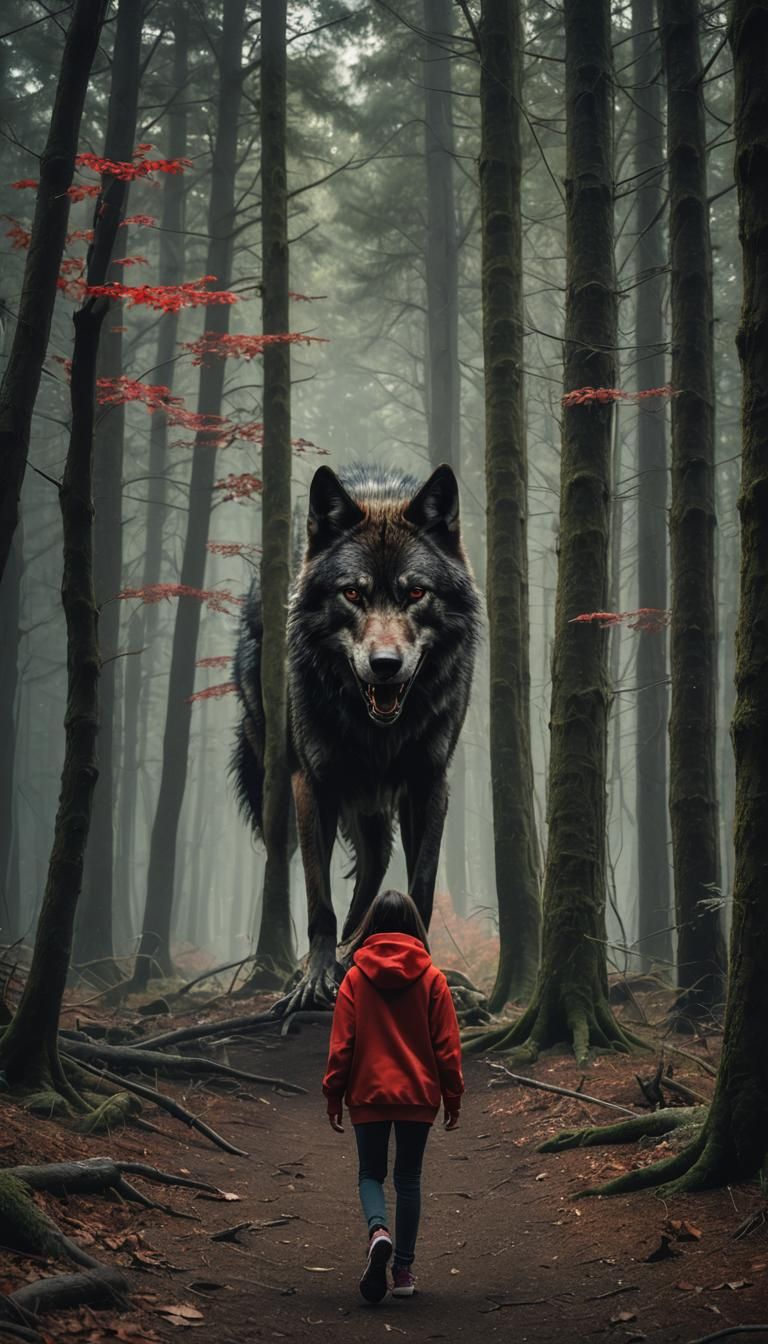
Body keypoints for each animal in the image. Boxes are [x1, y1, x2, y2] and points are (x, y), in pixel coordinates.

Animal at [232, 462, 481, 1011]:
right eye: (352, 593)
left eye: (416, 593)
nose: (385, 665)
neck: (378, 729)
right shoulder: (313, 782)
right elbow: (317, 896)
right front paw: (316, 978)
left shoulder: (429, 784)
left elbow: (421, 887)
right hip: (282, 787)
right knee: (288, 863)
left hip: (371, 804)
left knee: (374, 864)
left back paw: (357, 943)